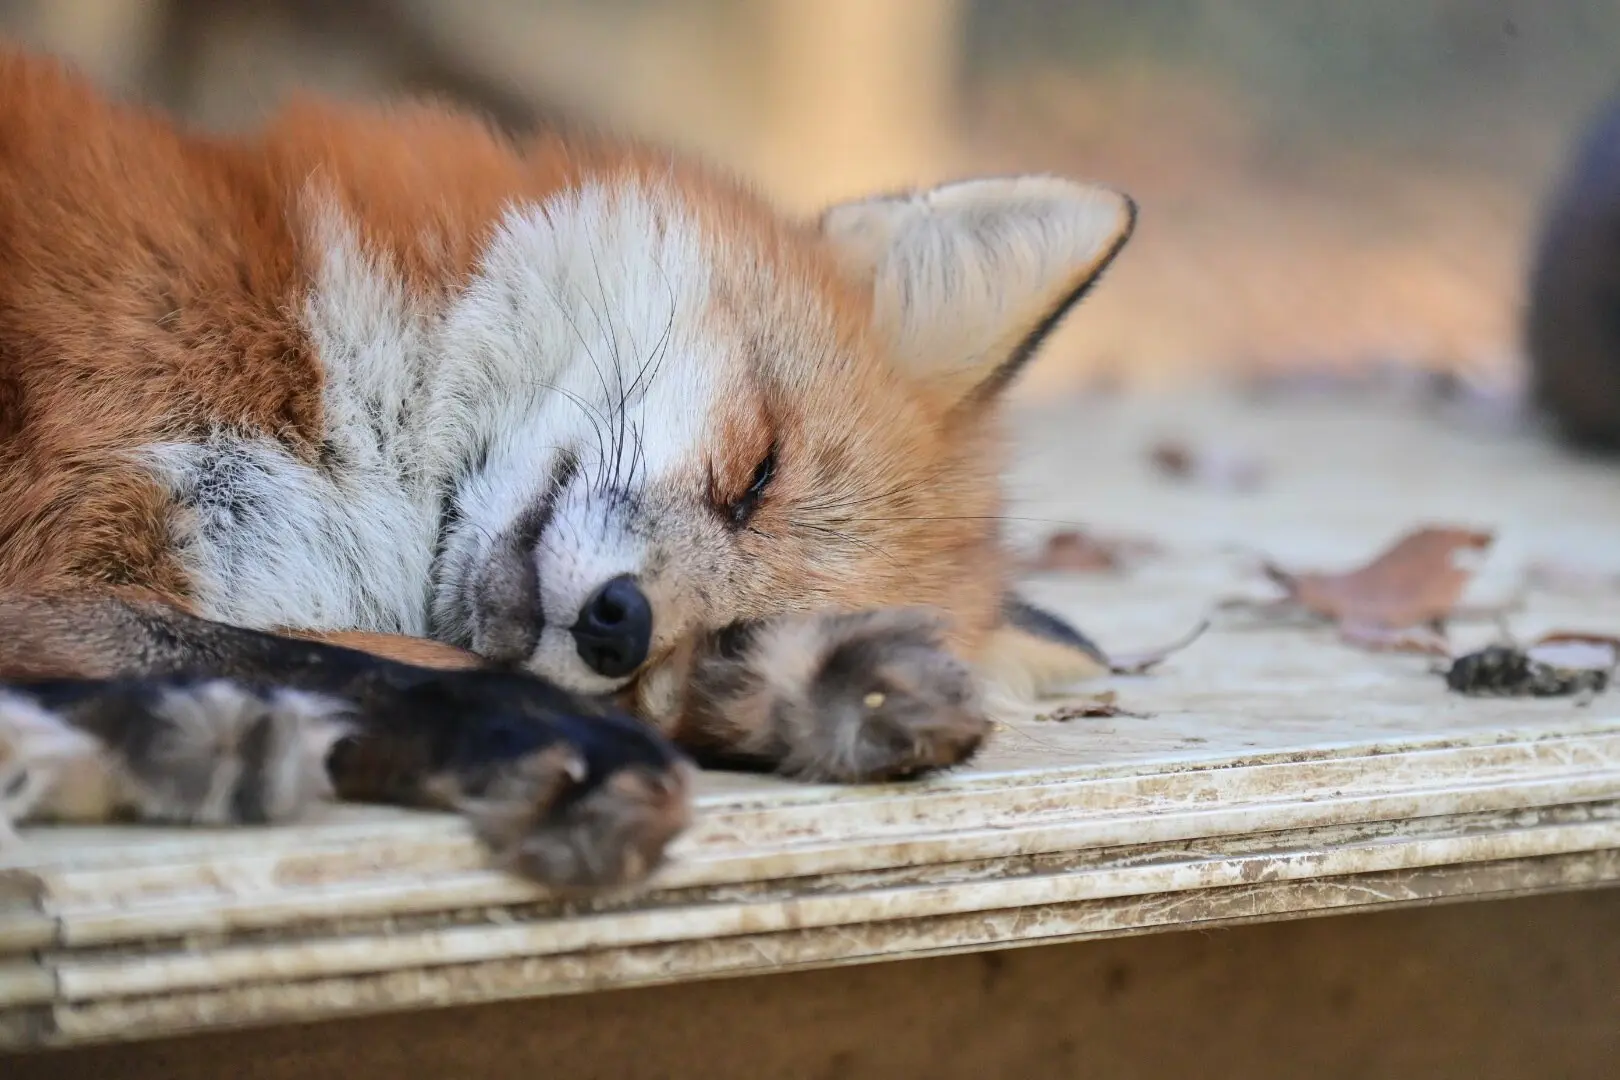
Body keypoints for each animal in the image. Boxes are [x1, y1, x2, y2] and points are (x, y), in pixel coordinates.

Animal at [0, 48, 1134, 891]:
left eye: (726, 638)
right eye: (757, 473)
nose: (618, 625)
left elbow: (325, 651)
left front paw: (806, 696)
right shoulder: (60, 540)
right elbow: (337, 659)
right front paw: (516, 733)